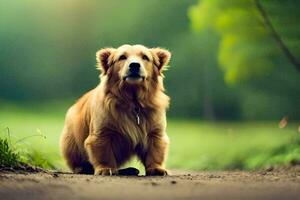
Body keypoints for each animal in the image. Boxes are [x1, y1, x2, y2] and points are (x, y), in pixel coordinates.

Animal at [59, 44, 171, 176]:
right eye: (122, 57)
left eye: (145, 57)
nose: (134, 65)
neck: (133, 101)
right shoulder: (102, 132)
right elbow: (103, 152)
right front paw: (105, 168)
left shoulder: (155, 130)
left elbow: (155, 151)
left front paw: (156, 168)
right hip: (70, 139)